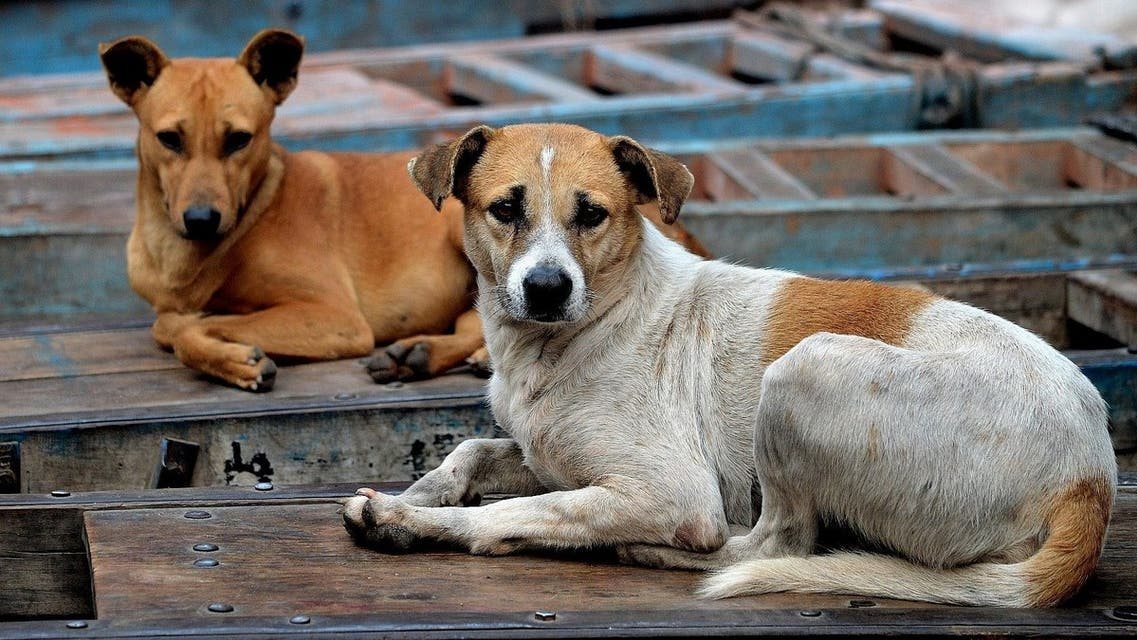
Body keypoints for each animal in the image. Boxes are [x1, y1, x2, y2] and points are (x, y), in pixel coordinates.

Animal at [100, 30, 700, 391]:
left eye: (239, 139)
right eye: (169, 139)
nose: (201, 220)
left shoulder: (335, 317)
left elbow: (177, 326)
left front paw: (233, 354)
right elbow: (171, 321)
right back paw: (421, 353)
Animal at [341, 123, 1114, 604]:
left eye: (592, 214)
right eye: (505, 208)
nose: (547, 288)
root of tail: (1092, 479)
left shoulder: (669, 492)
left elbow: (515, 512)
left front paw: (408, 521)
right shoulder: (549, 454)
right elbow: (471, 451)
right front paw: (423, 493)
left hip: (804, 370)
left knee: (776, 545)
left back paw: (650, 552)